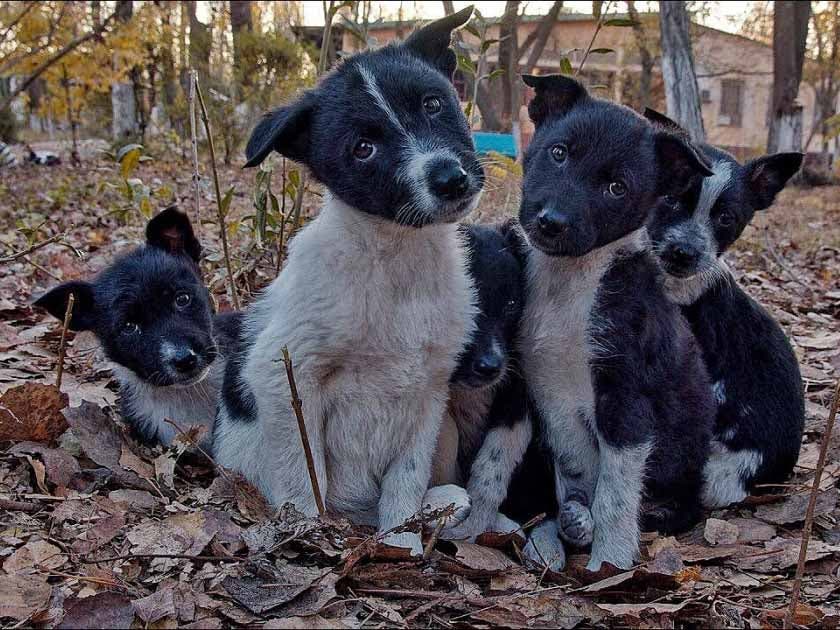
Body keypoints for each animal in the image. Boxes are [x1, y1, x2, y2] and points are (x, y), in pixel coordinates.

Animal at [434, 220, 532, 540]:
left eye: (512, 303)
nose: (490, 367)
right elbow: (446, 432)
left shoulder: (518, 394)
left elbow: (496, 460)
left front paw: (478, 520)